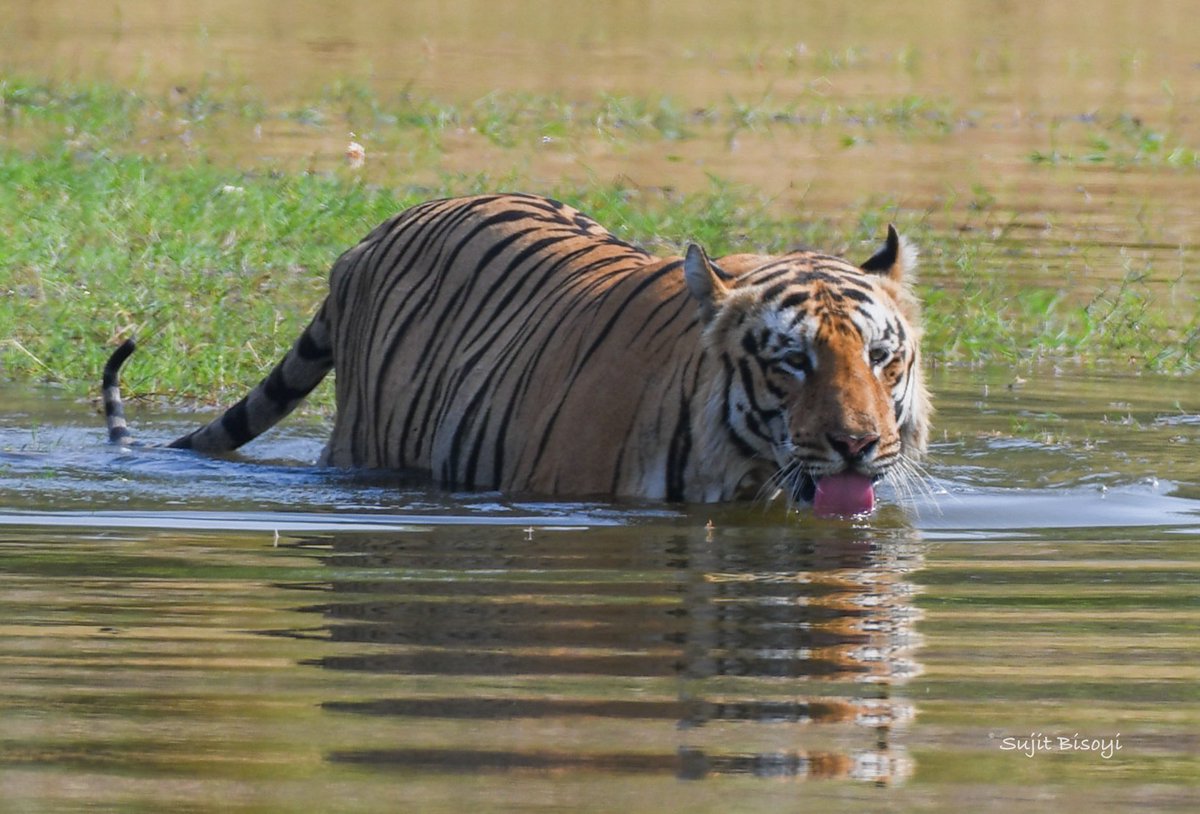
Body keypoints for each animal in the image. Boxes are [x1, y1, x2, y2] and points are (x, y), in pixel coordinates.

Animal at [103, 192, 930, 516]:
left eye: (881, 358)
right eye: (791, 363)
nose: (857, 446)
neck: (752, 468)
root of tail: (367, 238)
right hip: (362, 444)